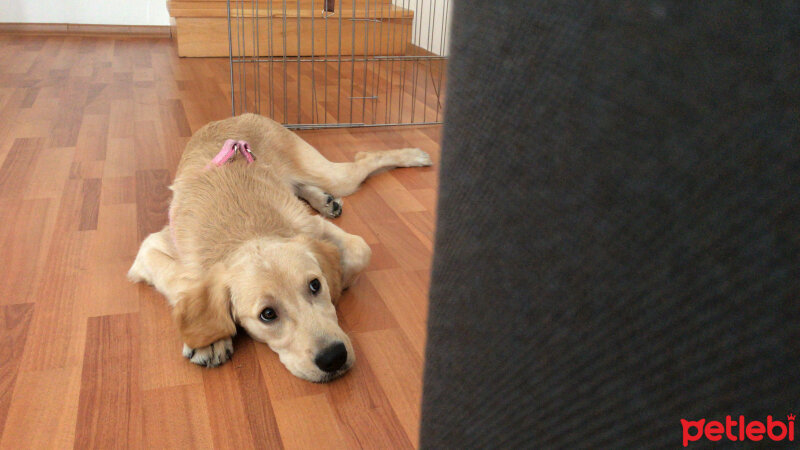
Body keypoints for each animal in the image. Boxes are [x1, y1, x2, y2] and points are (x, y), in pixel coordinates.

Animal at [126, 113, 432, 384]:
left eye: (315, 285)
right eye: (268, 315)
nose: (334, 357)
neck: (247, 231)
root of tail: (233, 116)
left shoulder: (313, 227)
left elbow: (359, 252)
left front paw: (341, 281)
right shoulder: (149, 249)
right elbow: (183, 281)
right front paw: (210, 339)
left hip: (332, 175)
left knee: (364, 158)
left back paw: (414, 156)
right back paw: (324, 199)